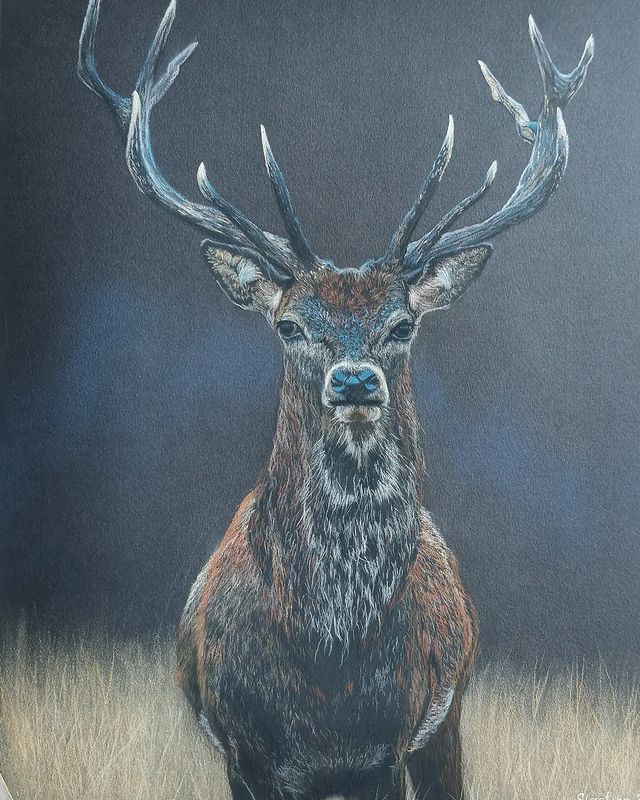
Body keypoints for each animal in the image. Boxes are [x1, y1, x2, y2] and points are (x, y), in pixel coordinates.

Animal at [78, 2, 593, 798]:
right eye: (289, 324)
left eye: (402, 323)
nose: (355, 381)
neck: (327, 665)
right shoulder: (240, 747)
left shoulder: (392, 741)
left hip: (450, 719)